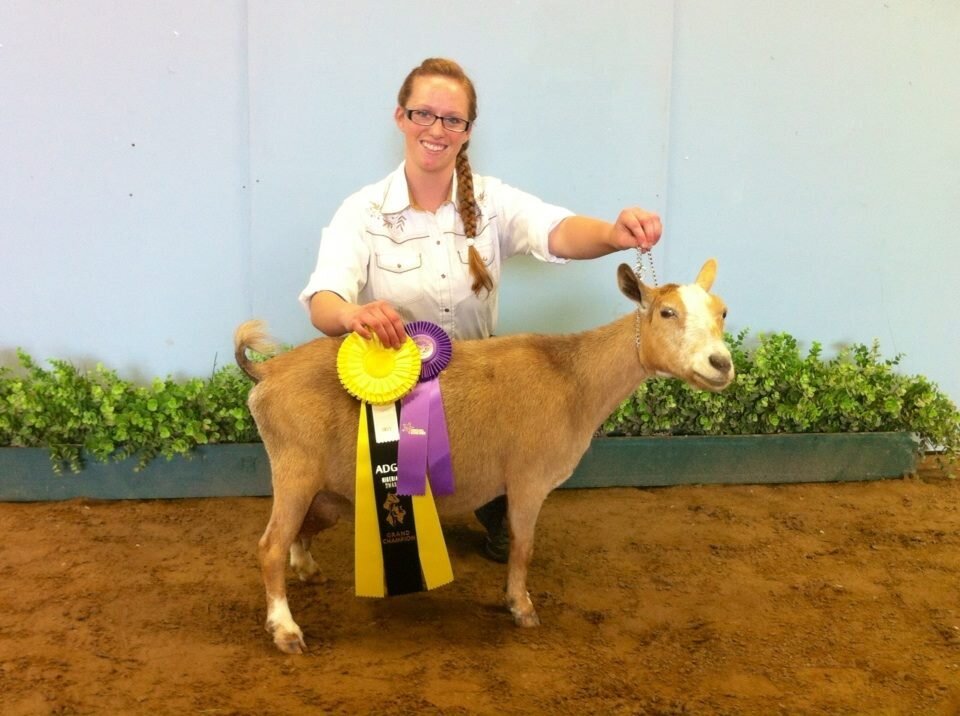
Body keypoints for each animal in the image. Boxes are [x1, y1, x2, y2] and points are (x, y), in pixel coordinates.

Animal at [236, 260, 732, 652]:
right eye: (667, 312)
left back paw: (308, 570)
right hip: (295, 469)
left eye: (722, 312)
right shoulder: (529, 478)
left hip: (325, 492)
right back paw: (285, 630)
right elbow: (523, 546)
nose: (721, 364)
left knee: (298, 533)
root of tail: (267, 371)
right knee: (269, 546)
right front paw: (521, 608)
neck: (573, 378)